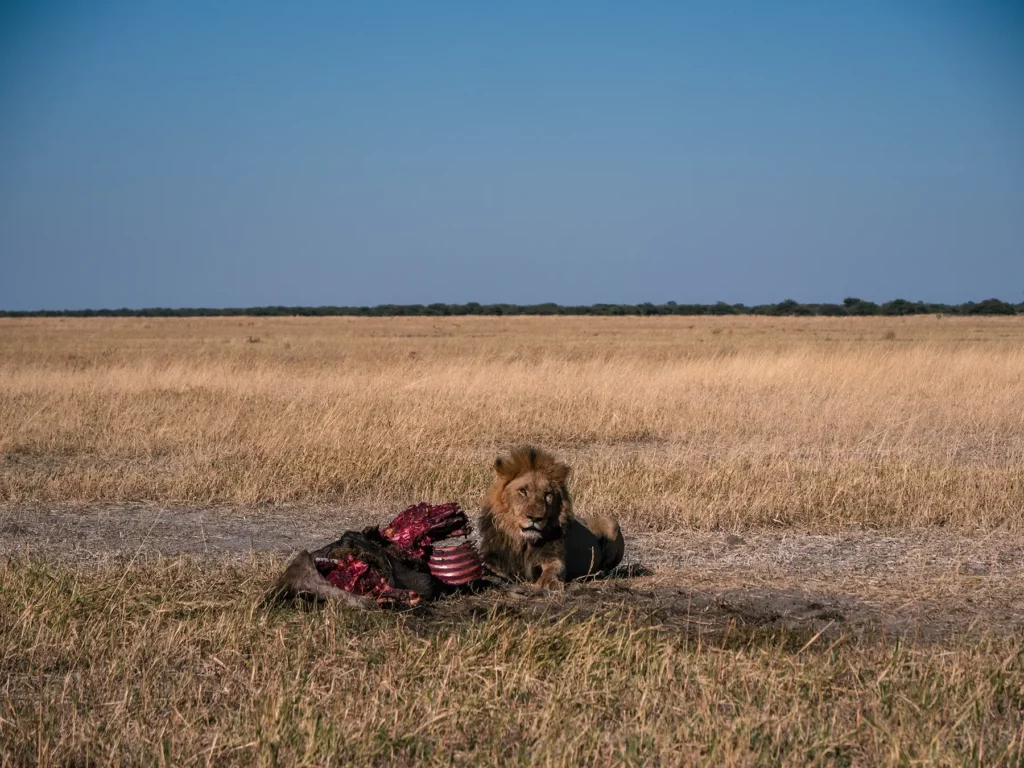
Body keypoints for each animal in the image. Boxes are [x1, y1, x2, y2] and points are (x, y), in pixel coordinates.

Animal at [477, 445, 625, 589]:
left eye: (548, 494)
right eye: (522, 491)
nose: (535, 518)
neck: (524, 542)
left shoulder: (553, 555)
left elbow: (555, 568)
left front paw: (549, 582)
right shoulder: (495, 557)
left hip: (612, 523)